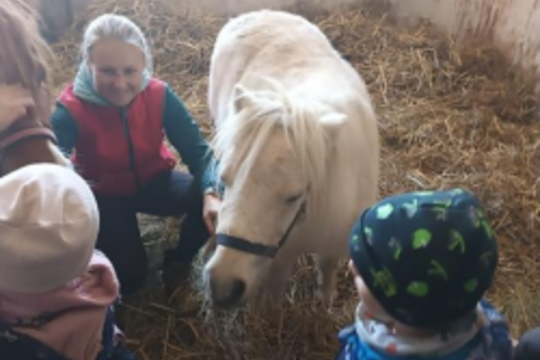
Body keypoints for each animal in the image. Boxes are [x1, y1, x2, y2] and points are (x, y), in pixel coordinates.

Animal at [202, 9, 380, 308]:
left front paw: (326, 299)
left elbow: (327, 268)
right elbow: (276, 290)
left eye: (294, 196)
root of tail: (254, 14)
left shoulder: (333, 243)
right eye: (224, 181)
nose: (223, 286)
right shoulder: (280, 258)